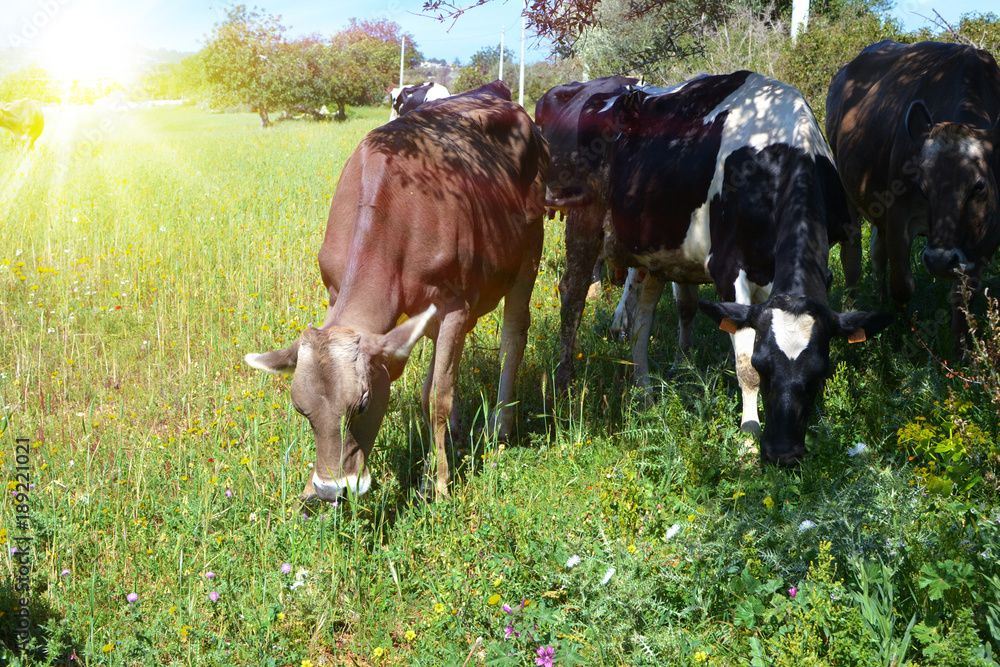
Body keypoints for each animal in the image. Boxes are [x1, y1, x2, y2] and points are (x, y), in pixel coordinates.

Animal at [247, 81, 552, 504]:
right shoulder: (341, 294)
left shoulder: (454, 305)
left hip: (529, 251)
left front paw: (437, 483)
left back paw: (500, 425)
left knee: (513, 337)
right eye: (301, 410)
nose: (329, 490)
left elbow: (437, 396)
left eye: (362, 405)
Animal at [548, 69, 892, 464]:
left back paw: (646, 396)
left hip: (652, 250)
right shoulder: (728, 268)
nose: (782, 453)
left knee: (640, 323)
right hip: (582, 223)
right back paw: (564, 391)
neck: (776, 152)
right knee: (571, 299)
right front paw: (748, 437)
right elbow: (742, 366)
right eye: (763, 364)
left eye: (820, 372)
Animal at [824, 40, 1000, 354]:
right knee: (852, 256)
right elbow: (903, 285)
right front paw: (902, 335)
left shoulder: (991, 230)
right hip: (847, 190)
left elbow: (964, 293)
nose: (940, 260)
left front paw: (960, 350)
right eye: (922, 185)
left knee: (877, 251)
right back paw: (852, 310)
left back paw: (878, 300)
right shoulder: (899, 214)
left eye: (978, 186)